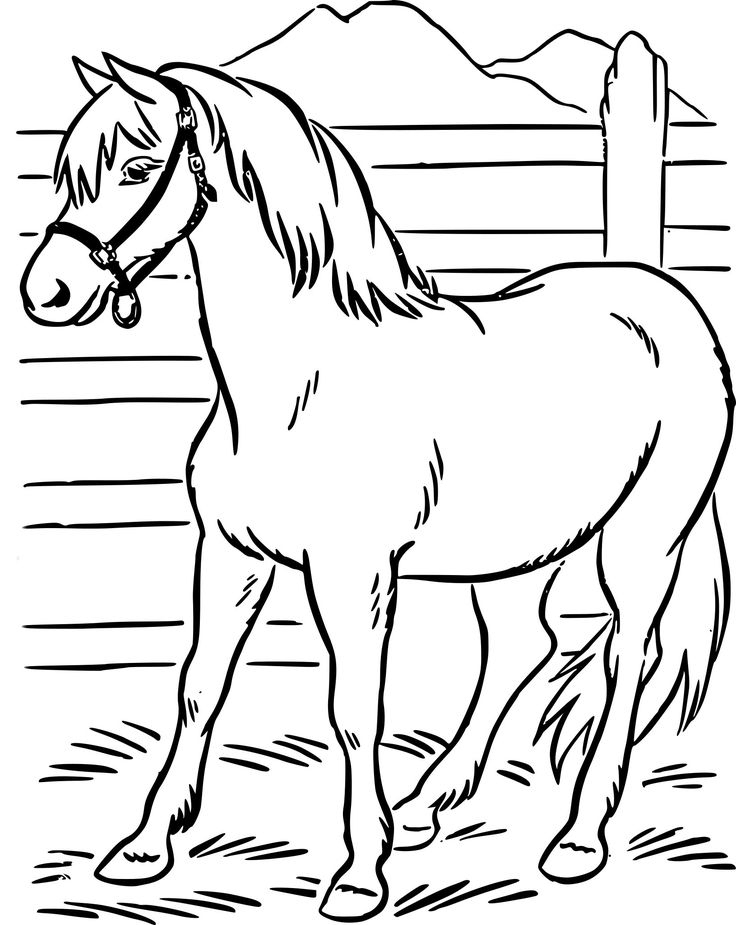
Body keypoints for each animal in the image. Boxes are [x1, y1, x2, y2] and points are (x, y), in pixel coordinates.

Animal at [20, 54, 732, 922]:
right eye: (66, 172)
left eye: (135, 167)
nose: (46, 293)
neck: (297, 386)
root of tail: (669, 300)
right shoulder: (229, 554)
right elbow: (198, 685)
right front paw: (144, 847)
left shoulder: (353, 573)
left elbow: (354, 711)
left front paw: (360, 875)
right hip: (513, 548)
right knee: (525, 645)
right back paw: (432, 802)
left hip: (643, 538)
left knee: (627, 653)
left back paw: (575, 839)